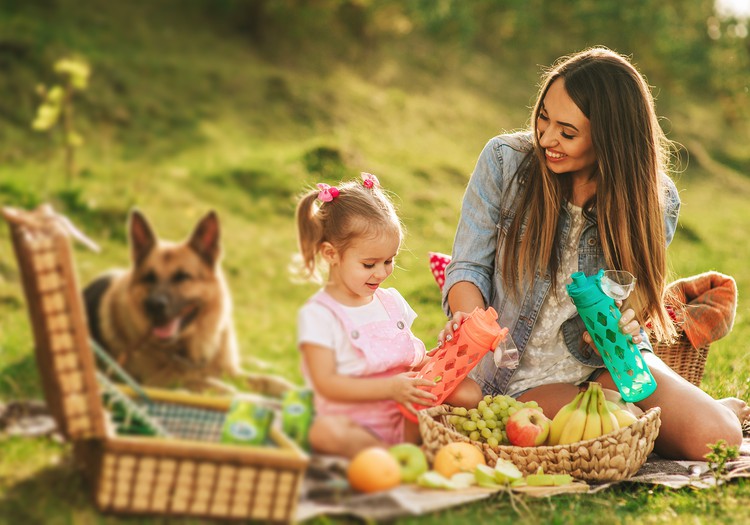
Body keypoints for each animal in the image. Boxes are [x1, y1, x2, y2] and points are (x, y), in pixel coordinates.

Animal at [83, 210, 294, 398]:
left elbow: (263, 379)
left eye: (182, 277)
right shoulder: (158, 380)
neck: (190, 349)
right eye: (149, 278)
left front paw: (284, 386)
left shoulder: (231, 372)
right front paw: (230, 391)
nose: (154, 306)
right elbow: (201, 382)